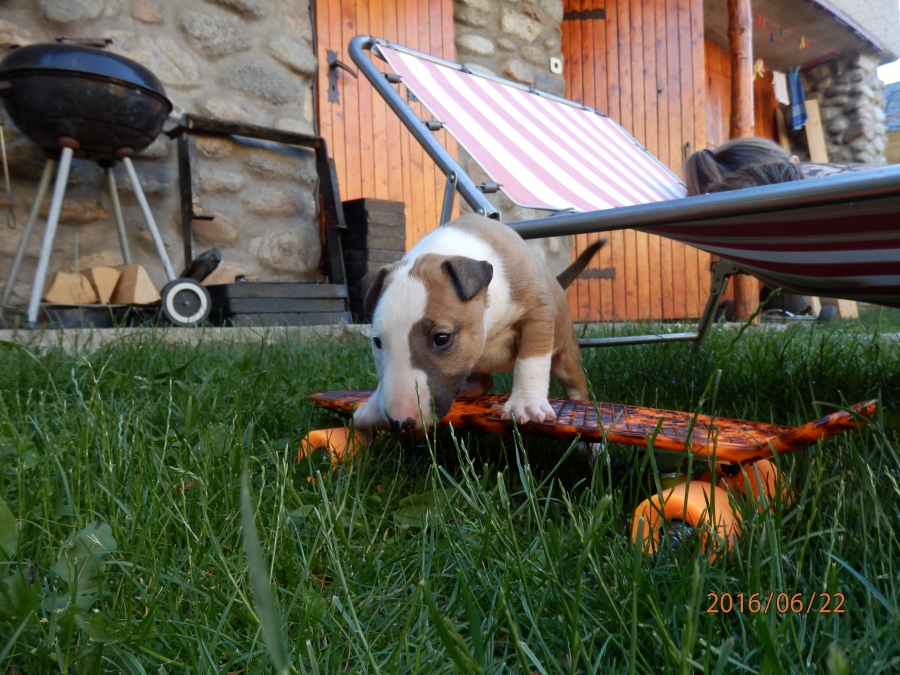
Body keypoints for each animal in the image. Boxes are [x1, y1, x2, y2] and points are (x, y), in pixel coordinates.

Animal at [352, 213, 605, 430]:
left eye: (441, 338)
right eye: (377, 342)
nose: (400, 422)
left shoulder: (537, 313)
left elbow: (532, 359)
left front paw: (526, 403)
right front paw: (372, 407)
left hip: (567, 359)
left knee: (576, 389)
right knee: (486, 380)